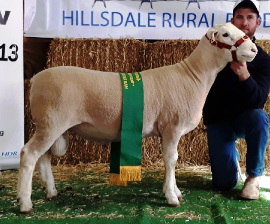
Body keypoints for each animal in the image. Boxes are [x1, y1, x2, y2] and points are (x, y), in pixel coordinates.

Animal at [16, 23, 258, 214]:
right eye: (225, 34)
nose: (254, 49)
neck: (194, 76)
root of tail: (35, 79)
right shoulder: (172, 127)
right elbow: (172, 160)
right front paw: (172, 197)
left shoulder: (167, 131)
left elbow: (171, 161)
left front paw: (174, 191)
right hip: (51, 123)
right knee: (29, 154)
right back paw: (25, 203)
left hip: (49, 125)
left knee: (43, 158)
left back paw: (51, 192)